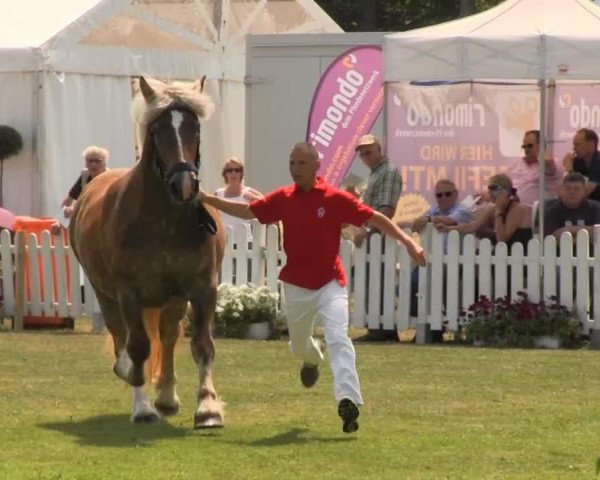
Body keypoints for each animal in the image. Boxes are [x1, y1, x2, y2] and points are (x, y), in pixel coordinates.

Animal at [68, 77, 227, 430]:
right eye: (156, 129)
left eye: (194, 126)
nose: (184, 185)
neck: (165, 221)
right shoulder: (128, 293)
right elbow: (139, 346)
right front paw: (141, 408)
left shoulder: (202, 289)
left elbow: (202, 346)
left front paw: (208, 408)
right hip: (107, 294)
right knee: (121, 337)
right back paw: (128, 372)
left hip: (172, 299)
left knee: (167, 337)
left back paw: (167, 396)